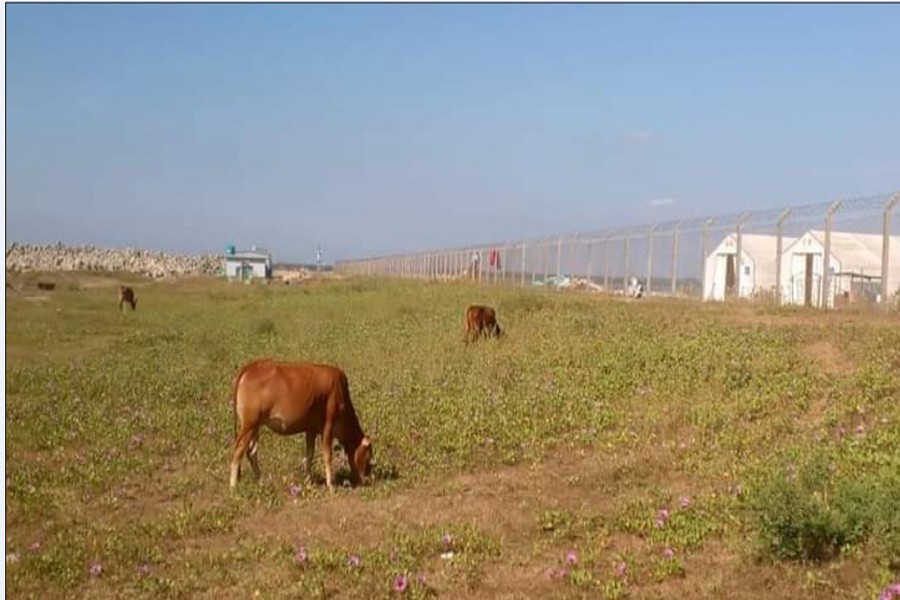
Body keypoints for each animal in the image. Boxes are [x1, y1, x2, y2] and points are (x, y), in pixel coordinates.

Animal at [229, 360, 374, 494]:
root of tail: (253, 365)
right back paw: (233, 486)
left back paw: (261, 480)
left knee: (252, 452)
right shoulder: (328, 425)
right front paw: (330, 485)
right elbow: (327, 455)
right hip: (249, 424)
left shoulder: (311, 429)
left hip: (255, 426)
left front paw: (309, 481)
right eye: (368, 456)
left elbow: (309, 455)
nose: (367, 479)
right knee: (238, 450)